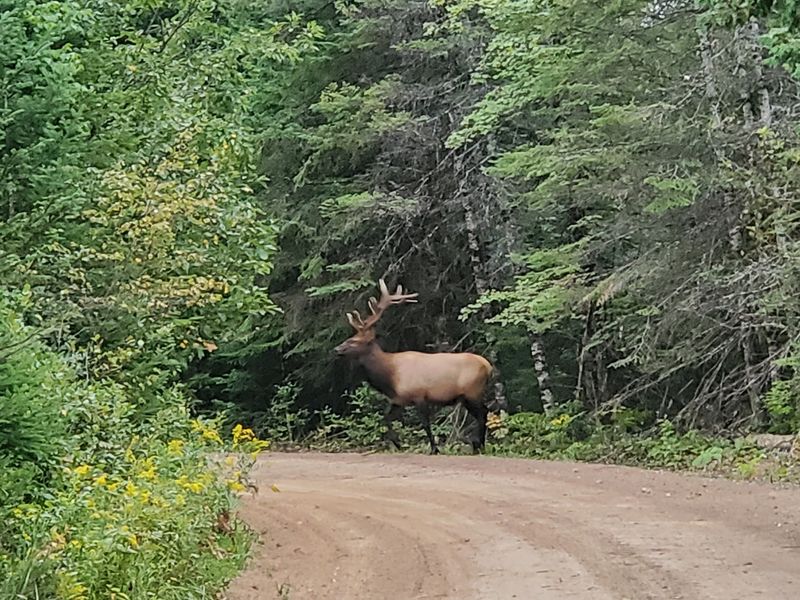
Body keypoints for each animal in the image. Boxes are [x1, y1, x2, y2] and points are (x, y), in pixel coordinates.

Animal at [333, 279, 494, 454]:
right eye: (350, 338)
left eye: (354, 341)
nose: (337, 349)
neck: (390, 376)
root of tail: (488, 366)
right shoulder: (398, 399)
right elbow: (386, 417)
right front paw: (398, 443)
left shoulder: (419, 395)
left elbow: (425, 423)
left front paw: (434, 449)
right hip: (467, 396)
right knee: (483, 413)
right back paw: (479, 445)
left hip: (473, 391)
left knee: (483, 413)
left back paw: (479, 446)